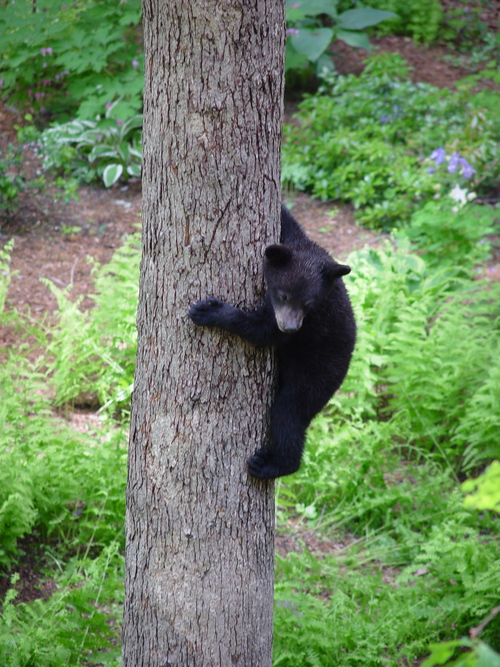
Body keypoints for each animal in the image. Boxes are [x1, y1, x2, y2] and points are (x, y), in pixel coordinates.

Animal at [188, 205, 356, 480]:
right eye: (283, 295)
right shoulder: (295, 240)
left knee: (289, 414)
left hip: (317, 373)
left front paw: (208, 311)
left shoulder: (312, 319)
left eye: (308, 303)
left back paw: (271, 464)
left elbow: (263, 331)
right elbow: (288, 222)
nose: (290, 326)